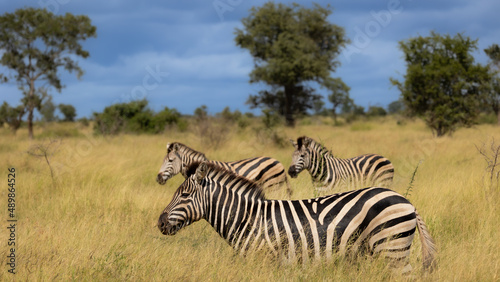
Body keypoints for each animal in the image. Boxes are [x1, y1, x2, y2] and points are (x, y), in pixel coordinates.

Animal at [158, 162, 436, 272]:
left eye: (184, 195)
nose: (159, 223)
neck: (247, 219)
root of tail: (407, 201)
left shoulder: (264, 261)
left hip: (392, 249)